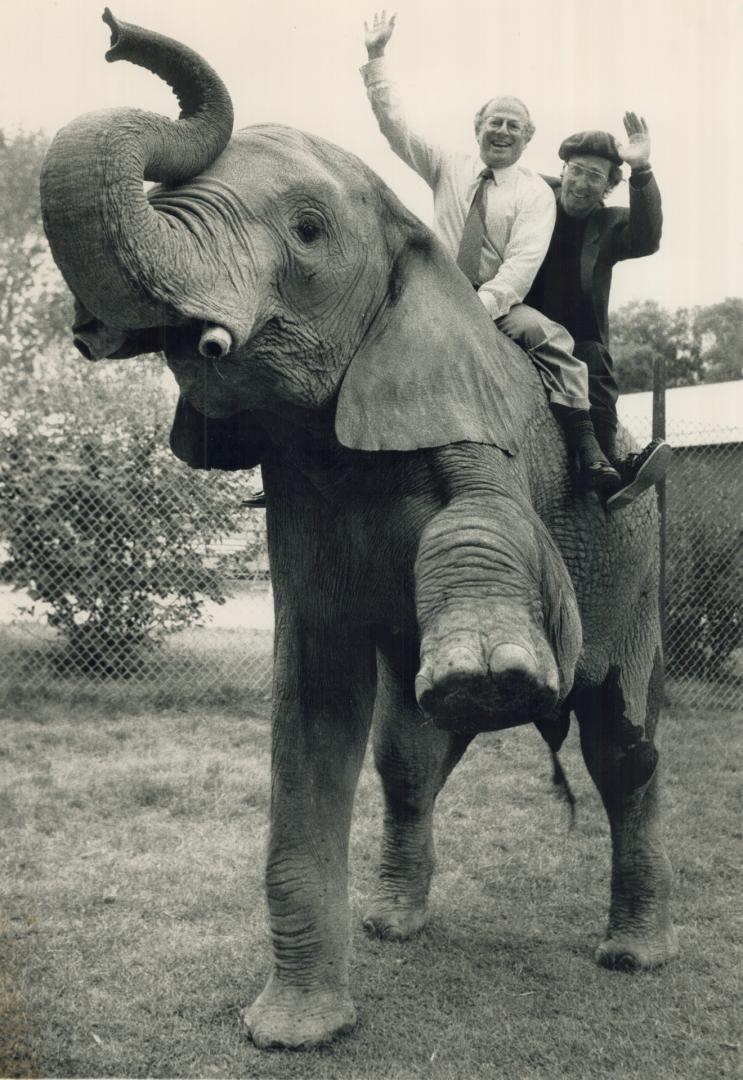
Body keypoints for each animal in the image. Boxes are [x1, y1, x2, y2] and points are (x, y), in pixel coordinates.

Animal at [42, 10, 678, 1054]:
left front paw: (489, 671)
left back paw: (633, 955)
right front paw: (293, 1035)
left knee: (622, 752)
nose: (114, 32)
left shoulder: (480, 424)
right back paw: (393, 924)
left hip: (639, 577)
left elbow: (496, 539)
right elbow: (313, 706)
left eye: (305, 232)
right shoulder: (300, 502)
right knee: (406, 758)